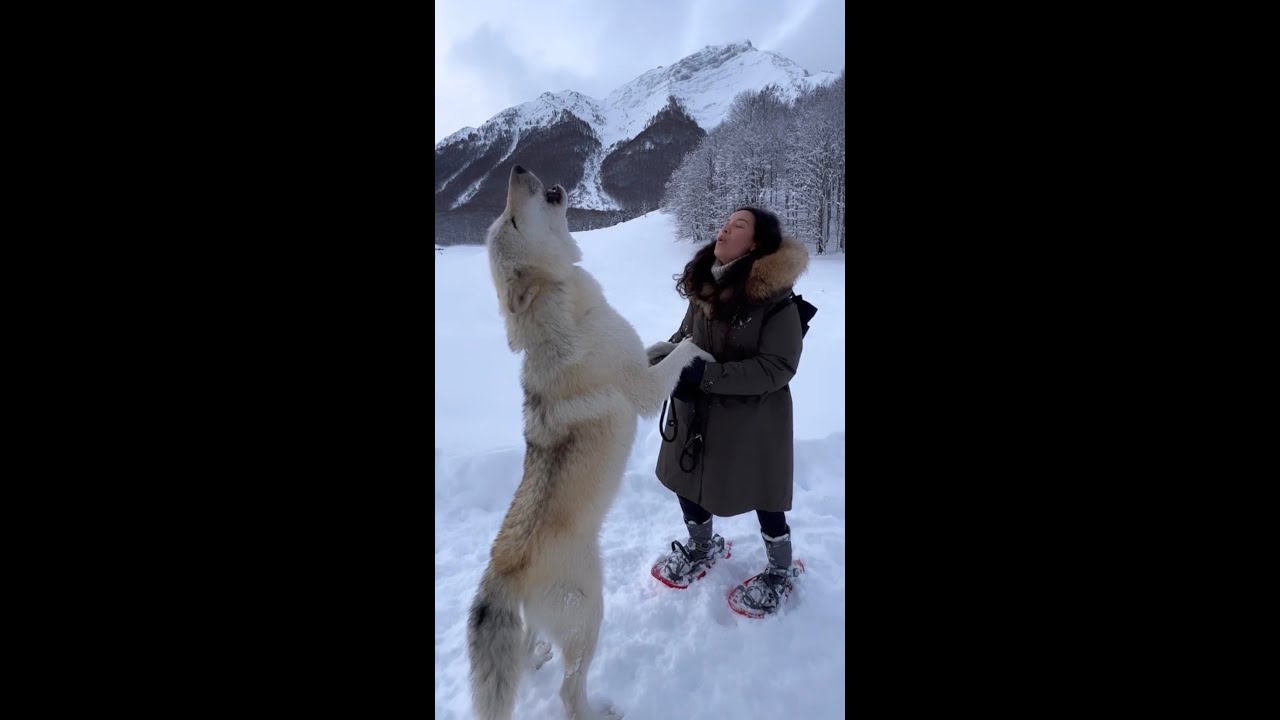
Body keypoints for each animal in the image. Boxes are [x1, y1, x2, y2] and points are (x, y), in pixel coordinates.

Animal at [468, 165, 712, 720]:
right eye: (512, 219)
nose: (517, 166)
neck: (569, 316)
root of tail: (501, 572)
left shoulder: (639, 357)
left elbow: (657, 347)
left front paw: (672, 337)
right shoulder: (643, 390)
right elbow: (678, 356)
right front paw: (700, 345)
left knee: (532, 652)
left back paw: (536, 654)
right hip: (590, 613)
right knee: (568, 692)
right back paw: (598, 709)